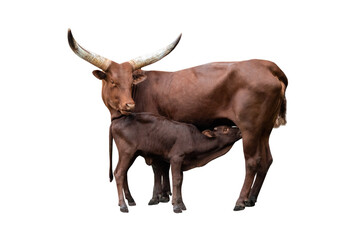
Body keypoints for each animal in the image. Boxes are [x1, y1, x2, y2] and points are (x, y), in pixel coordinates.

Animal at [107, 113, 242, 213]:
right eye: (225, 129)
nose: (240, 130)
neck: (195, 140)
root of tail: (115, 121)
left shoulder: (182, 162)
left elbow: (181, 180)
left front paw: (181, 204)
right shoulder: (176, 158)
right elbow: (176, 179)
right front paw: (176, 206)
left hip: (131, 154)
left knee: (123, 173)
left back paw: (129, 200)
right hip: (127, 152)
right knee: (119, 173)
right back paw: (123, 205)